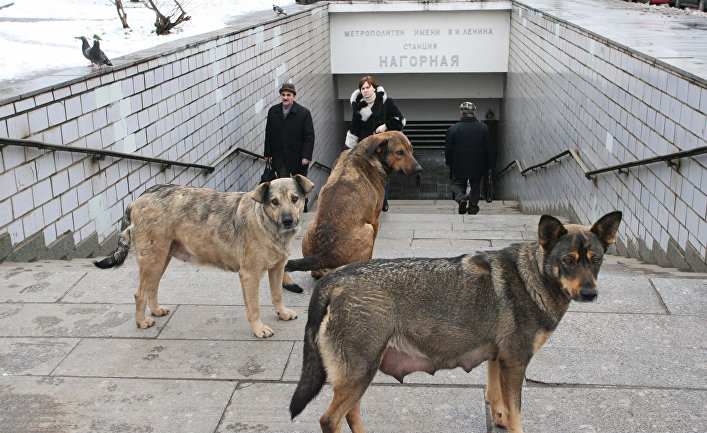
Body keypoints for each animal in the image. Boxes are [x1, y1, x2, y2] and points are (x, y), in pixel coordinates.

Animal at [92, 176, 314, 338]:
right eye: (274, 202)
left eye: (295, 198)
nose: (288, 220)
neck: (265, 223)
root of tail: (137, 199)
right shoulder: (249, 275)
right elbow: (254, 307)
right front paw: (259, 329)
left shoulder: (277, 268)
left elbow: (277, 295)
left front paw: (282, 313)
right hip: (153, 259)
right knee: (139, 293)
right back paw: (141, 322)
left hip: (162, 258)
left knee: (152, 287)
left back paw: (154, 310)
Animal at [282, 131, 424, 286]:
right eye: (399, 152)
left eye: (411, 148)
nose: (419, 170)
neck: (363, 152)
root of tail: (321, 257)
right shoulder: (374, 220)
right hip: (368, 229)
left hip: (311, 226)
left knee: (314, 274)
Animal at [290, 211, 624, 430]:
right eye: (568, 261)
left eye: (596, 261)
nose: (590, 293)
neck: (533, 277)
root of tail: (333, 279)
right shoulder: (515, 363)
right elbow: (515, 413)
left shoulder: (498, 360)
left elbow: (498, 403)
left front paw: (498, 420)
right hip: (360, 371)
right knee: (331, 419)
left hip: (360, 373)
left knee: (351, 413)